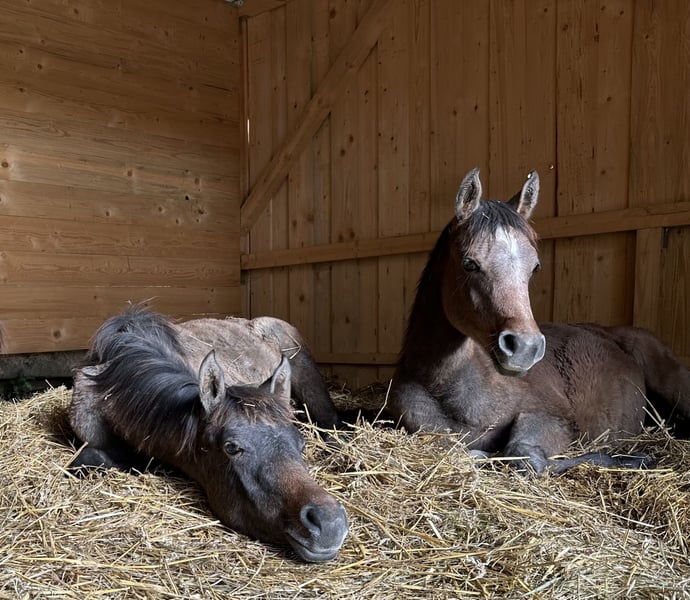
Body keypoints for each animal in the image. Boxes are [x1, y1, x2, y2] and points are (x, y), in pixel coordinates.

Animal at [388, 168, 690, 473]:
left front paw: (631, 459)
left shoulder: (551, 418)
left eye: (534, 267)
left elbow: (522, 454)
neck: (447, 387)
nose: (525, 348)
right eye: (469, 263)